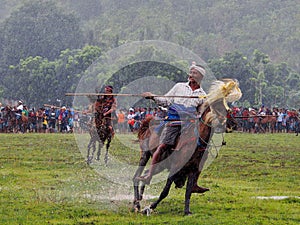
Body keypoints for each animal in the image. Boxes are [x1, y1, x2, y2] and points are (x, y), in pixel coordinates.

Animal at [132, 78, 243, 214]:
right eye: (217, 106)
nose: (234, 124)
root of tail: (148, 122)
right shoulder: (175, 168)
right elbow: (165, 191)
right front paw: (151, 206)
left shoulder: (193, 170)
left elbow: (188, 192)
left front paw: (187, 211)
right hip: (145, 154)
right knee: (136, 177)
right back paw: (137, 204)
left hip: (161, 164)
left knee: (146, 174)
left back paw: (140, 197)